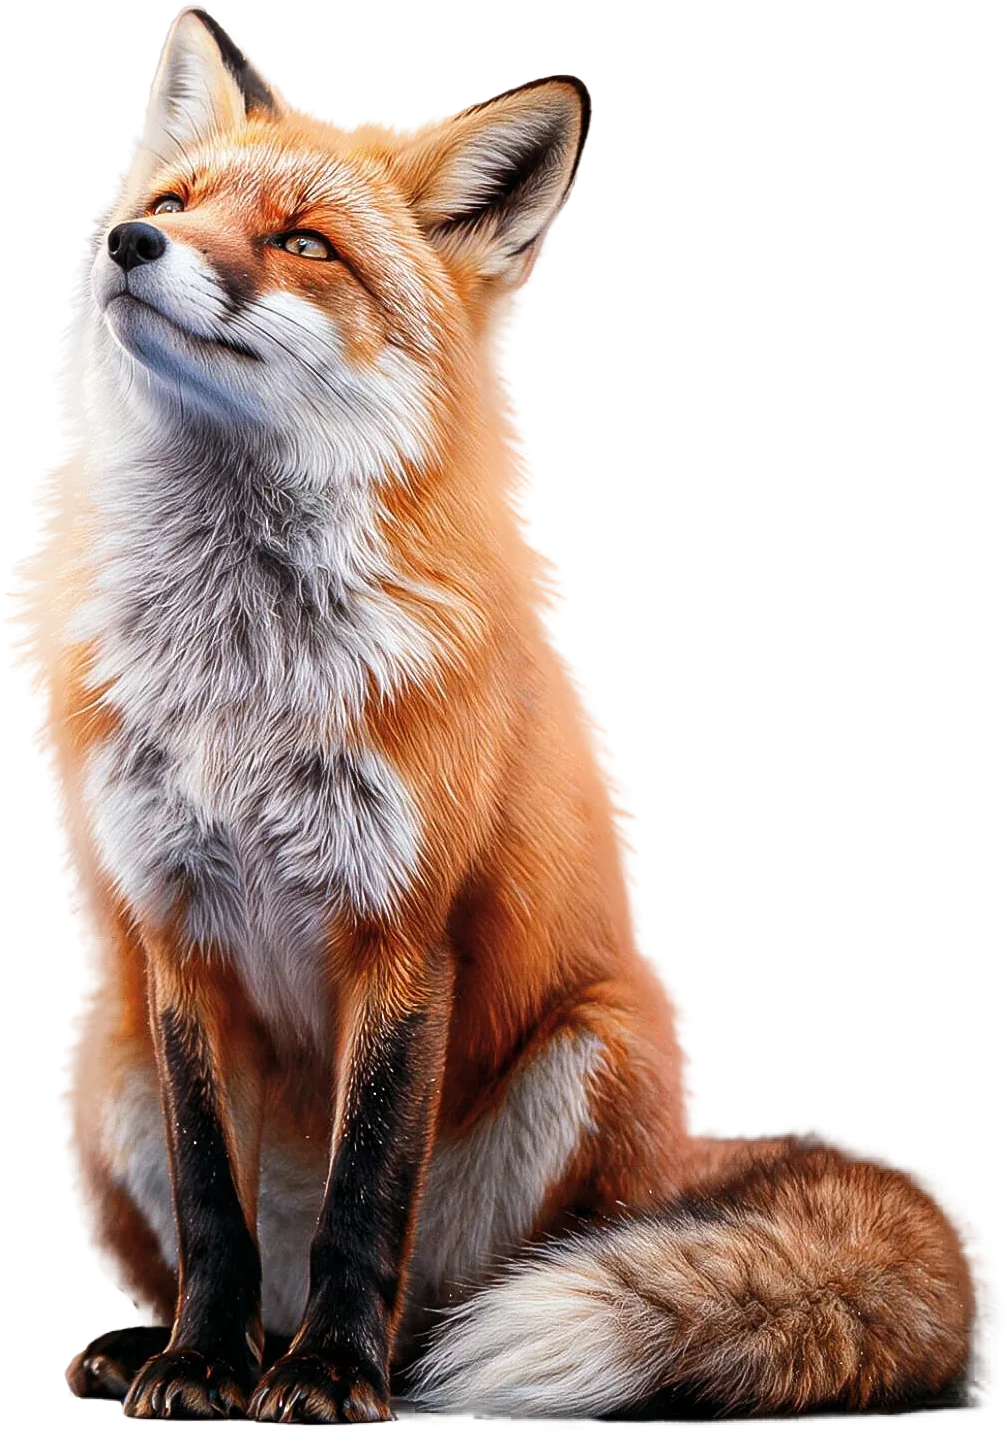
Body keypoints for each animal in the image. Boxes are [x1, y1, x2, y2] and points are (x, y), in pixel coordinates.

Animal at [52, 5, 990, 1424]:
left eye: (304, 243)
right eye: (170, 204)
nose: (128, 244)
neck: (245, 681)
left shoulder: (405, 930)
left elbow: (365, 1196)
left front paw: (330, 1376)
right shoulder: (175, 934)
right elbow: (216, 1208)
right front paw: (201, 1365)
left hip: (589, 1052)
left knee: (469, 1282)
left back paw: (381, 1356)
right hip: (103, 1063)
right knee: (233, 1254)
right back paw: (164, 1339)